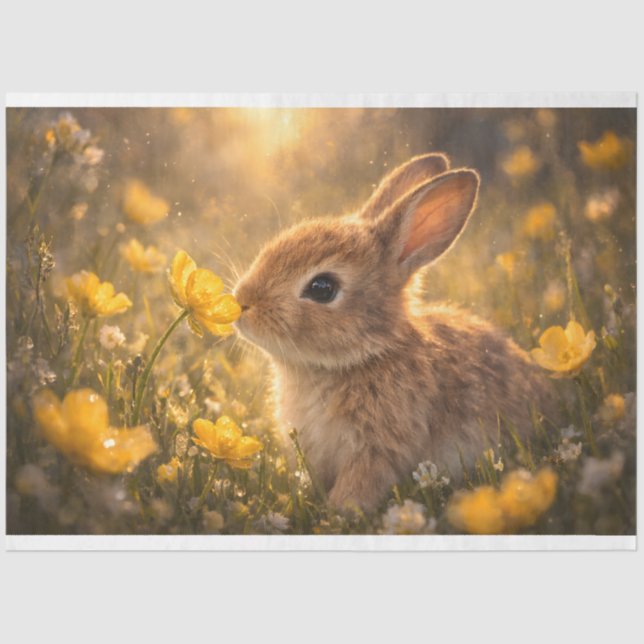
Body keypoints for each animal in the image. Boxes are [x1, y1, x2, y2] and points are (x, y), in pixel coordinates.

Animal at [233, 153, 557, 512]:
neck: (364, 354)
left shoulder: (378, 448)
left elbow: (360, 482)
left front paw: (338, 512)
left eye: (322, 288)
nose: (242, 302)